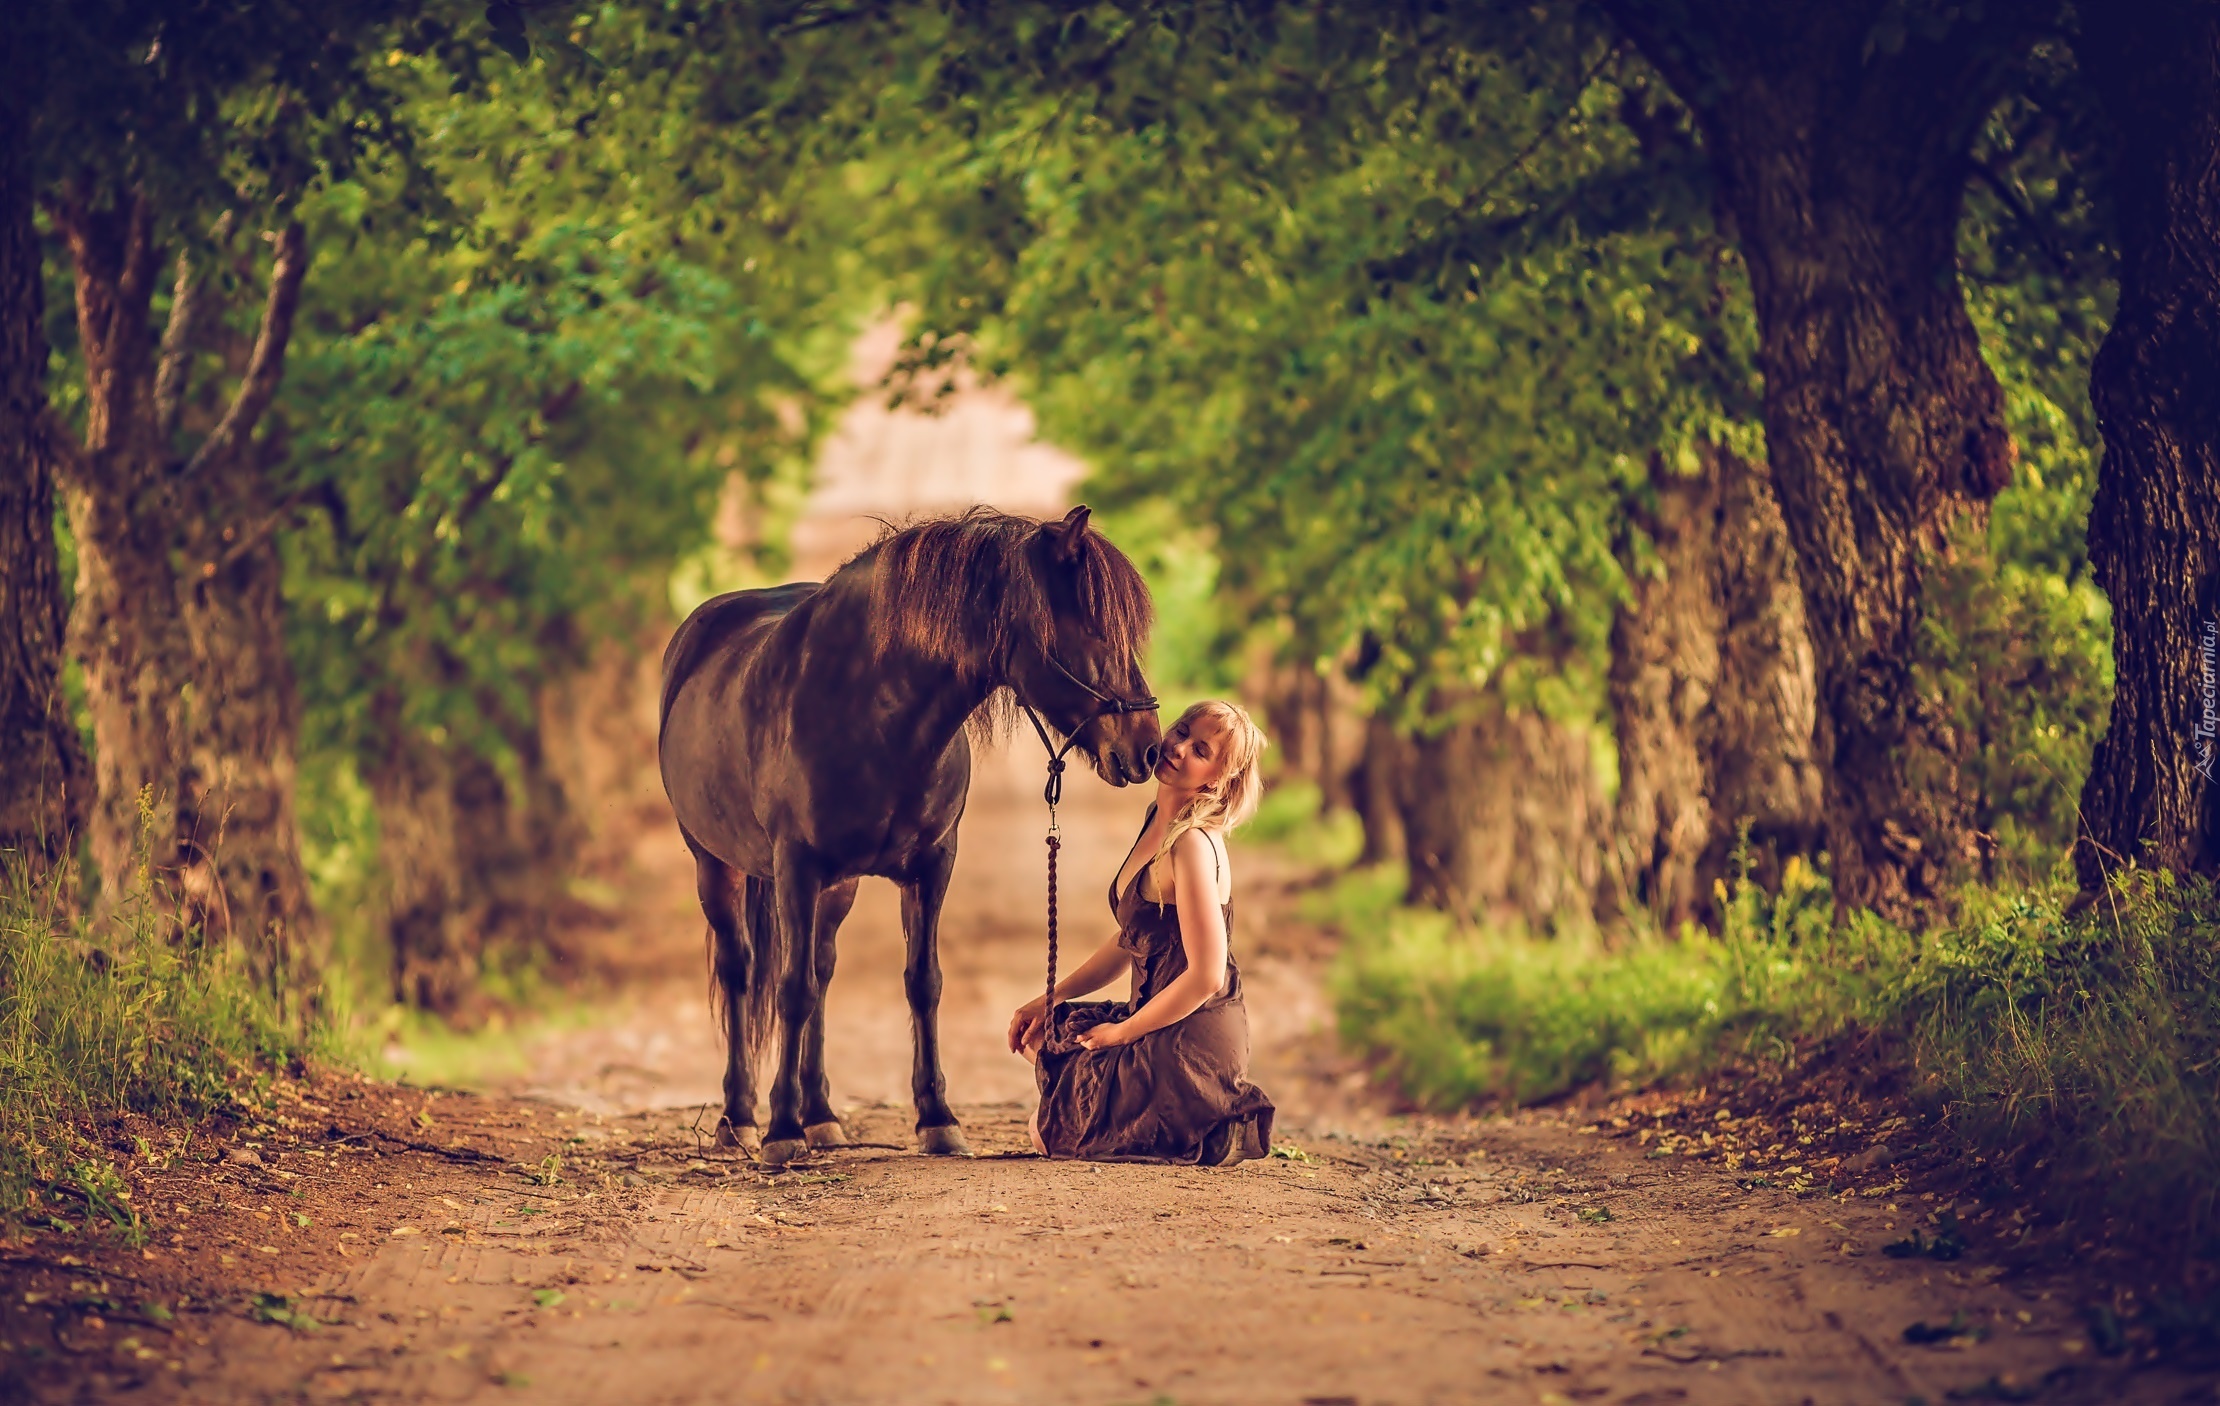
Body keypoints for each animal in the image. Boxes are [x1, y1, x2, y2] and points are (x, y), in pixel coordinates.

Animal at [652, 504, 1163, 1163]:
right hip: (715, 865)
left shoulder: (931, 865)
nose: (1148, 748)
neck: (866, 712)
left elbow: (922, 982)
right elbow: (789, 989)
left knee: (822, 969)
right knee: (741, 970)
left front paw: (937, 1119)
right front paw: (781, 1130)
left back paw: (822, 1116)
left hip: (837, 889)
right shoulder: (796, 868)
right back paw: (739, 1118)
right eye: (1093, 631)